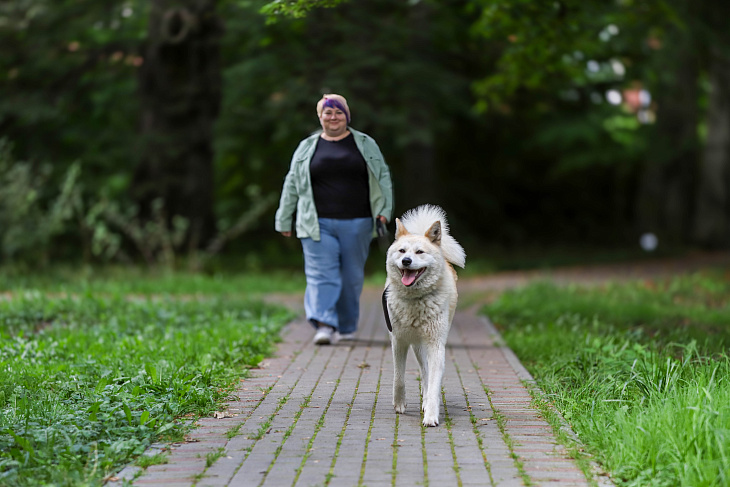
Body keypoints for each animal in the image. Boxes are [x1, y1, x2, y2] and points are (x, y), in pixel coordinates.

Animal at [384, 205, 464, 428]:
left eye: (420, 252)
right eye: (402, 251)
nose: (406, 261)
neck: (415, 300)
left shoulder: (436, 345)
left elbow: (434, 383)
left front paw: (431, 414)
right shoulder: (398, 340)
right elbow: (399, 376)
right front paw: (399, 404)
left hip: (427, 344)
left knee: (428, 374)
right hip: (418, 346)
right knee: (423, 371)